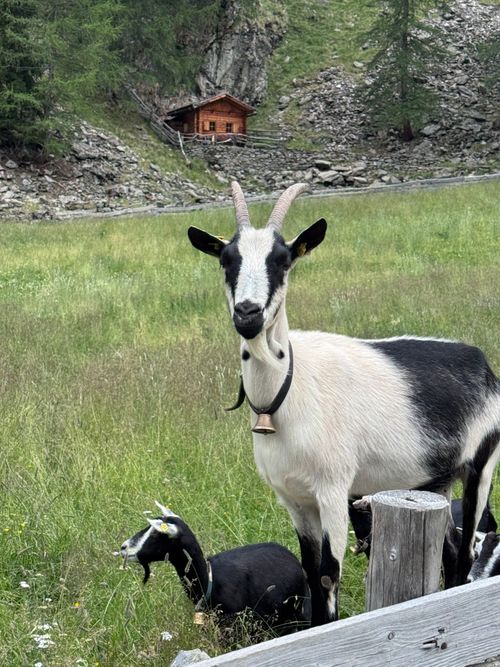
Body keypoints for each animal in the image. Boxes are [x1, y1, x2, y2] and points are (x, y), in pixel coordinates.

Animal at [187, 181, 500, 625]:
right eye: (226, 259)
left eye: (283, 260)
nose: (248, 314)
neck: (289, 393)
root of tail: (481, 362)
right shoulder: (295, 500)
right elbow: (308, 571)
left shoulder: (333, 489)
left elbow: (327, 575)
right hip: (430, 482)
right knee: (452, 550)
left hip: (482, 464)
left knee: (468, 548)